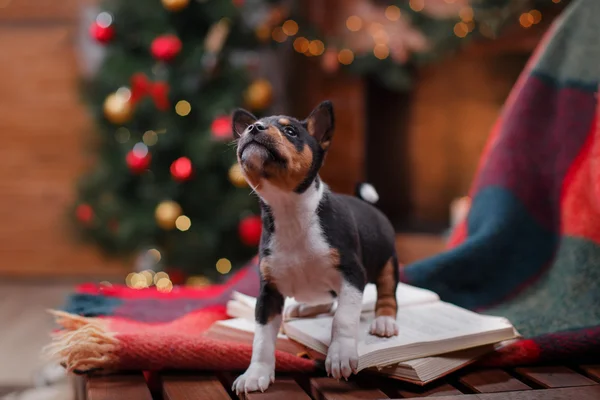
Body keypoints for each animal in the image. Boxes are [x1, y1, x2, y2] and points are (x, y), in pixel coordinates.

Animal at [231, 100, 398, 394]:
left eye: (290, 131)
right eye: (250, 126)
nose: (253, 128)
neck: (290, 212)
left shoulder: (352, 275)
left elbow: (343, 318)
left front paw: (340, 354)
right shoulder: (268, 293)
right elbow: (261, 338)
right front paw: (256, 373)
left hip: (387, 263)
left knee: (386, 294)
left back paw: (384, 321)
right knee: (328, 300)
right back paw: (301, 308)